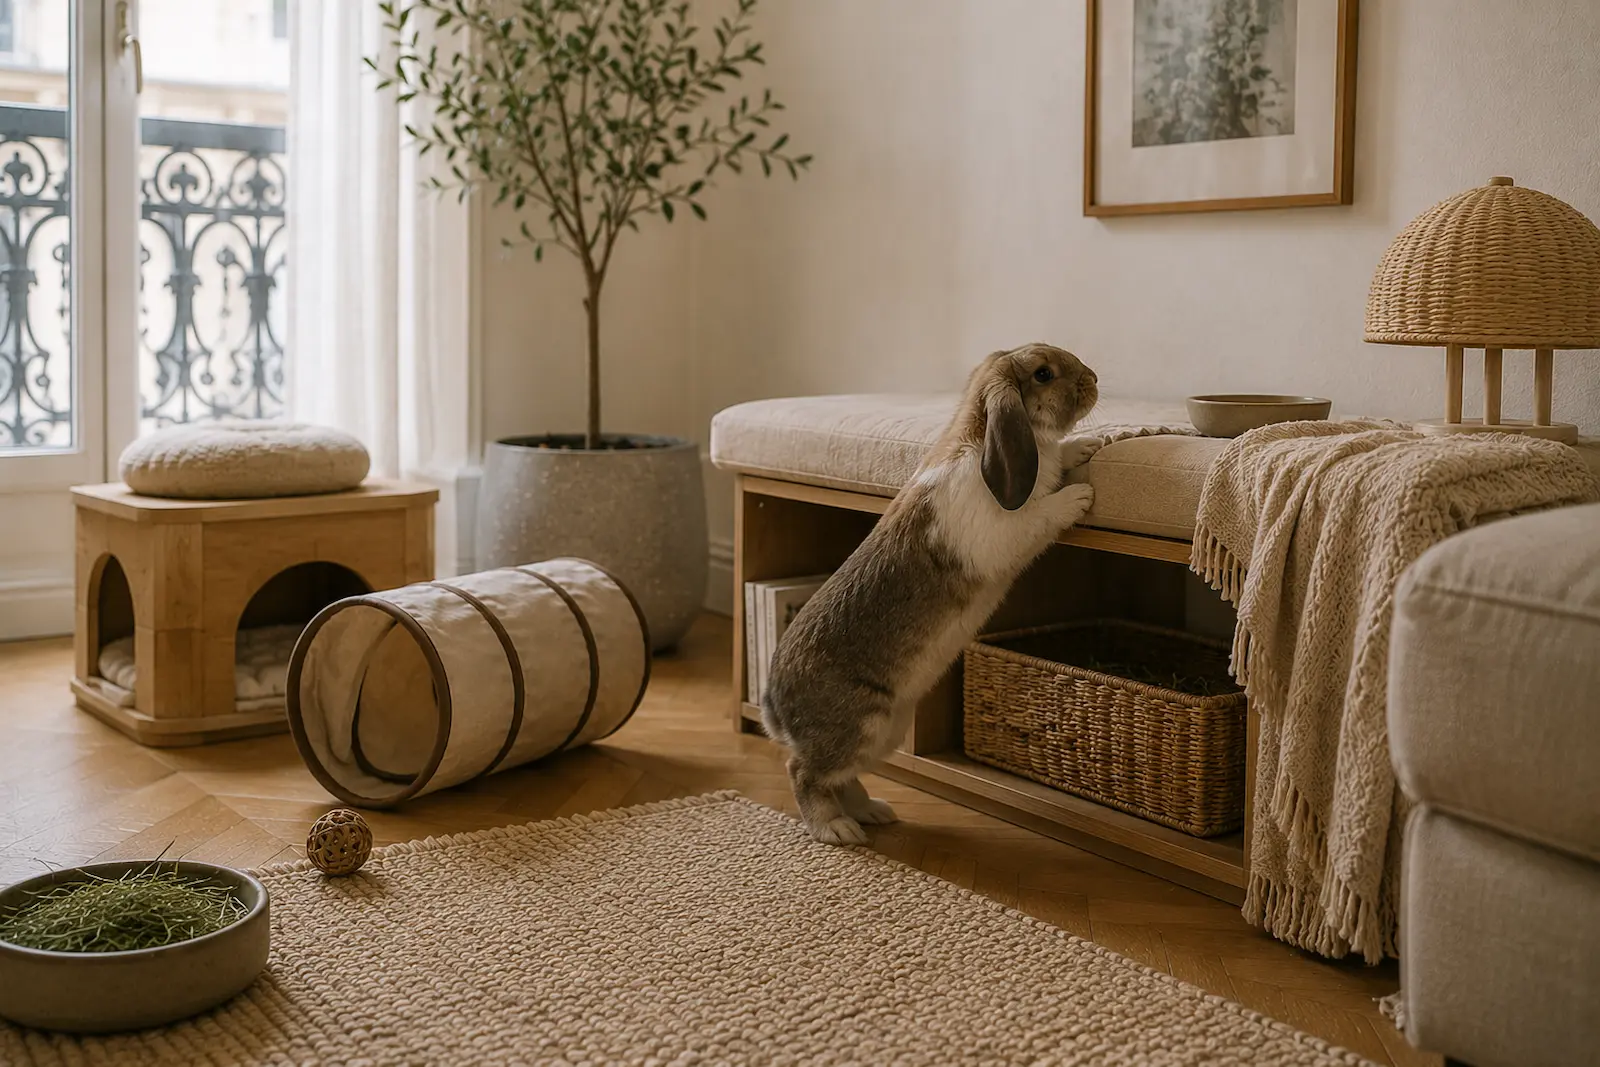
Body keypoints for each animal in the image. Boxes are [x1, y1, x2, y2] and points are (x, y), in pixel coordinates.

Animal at [762, 343, 1102, 845]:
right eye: (1043, 373)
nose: (1094, 379)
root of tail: (776, 706)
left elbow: (1059, 454)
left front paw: (1086, 446)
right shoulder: (1005, 531)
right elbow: (1041, 515)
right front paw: (1079, 494)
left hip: (887, 732)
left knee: (842, 778)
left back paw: (874, 811)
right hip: (857, 728)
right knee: (803, 772)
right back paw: (838, 829)